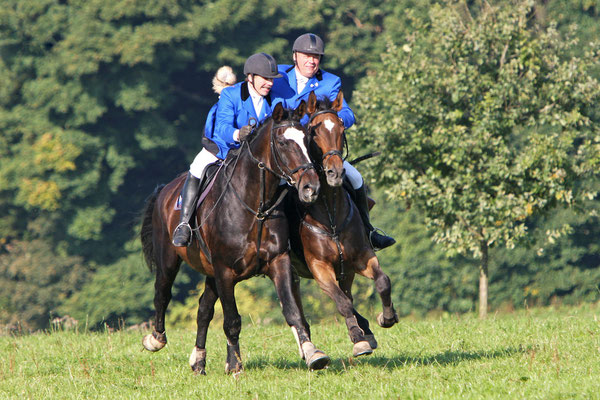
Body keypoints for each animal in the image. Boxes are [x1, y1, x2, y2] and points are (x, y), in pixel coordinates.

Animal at [141, 103, 330, 376]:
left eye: (307, 140)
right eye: (283, 142)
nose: (311, 188)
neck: (255, 207)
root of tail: (165, 190)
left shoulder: (278, 261)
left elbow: (293, 311)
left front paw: (313, 354)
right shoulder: (225, 271)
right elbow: (232, 321)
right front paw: (235, 365)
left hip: (209, 272)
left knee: (203, 309)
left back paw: (198, 361)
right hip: (169, 260)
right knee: (162, 294)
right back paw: (156, 340)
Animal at [290, 92, 400, 358]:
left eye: (341, 128)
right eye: (313, 132)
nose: (335, 173)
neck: (330, 214)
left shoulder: (361, 257)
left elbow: (382, 282)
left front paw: (386, 317)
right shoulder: (320, 268)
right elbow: (341, 302)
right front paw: (357, 337)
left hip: (346, 269)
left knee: (348, 292)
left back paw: (366, 330)